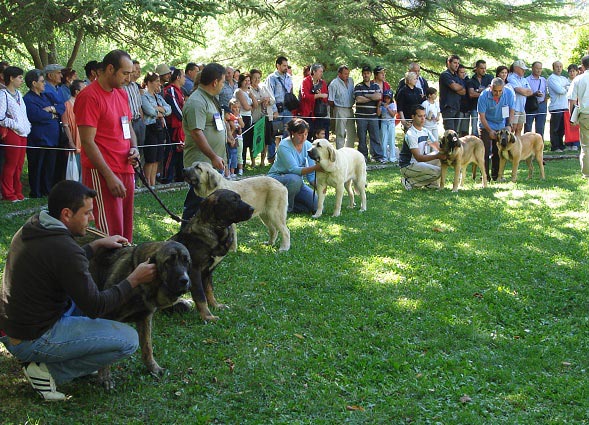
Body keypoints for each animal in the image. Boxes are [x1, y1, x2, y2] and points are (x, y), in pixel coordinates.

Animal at [89, 240, 191, 386]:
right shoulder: (107, 316)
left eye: (186, 261)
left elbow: (147, 347)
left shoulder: (145, 318)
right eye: (168, 262)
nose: (184, 280)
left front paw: (153, 368)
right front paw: (105, 377)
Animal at [170, 187, 253, 320]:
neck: (217, 228)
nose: (252, 209)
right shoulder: (195, 271)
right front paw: (208, 316)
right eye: (233, 200)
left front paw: (215, 306)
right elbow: (200, 296)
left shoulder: (207, 272)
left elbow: (209, 291)